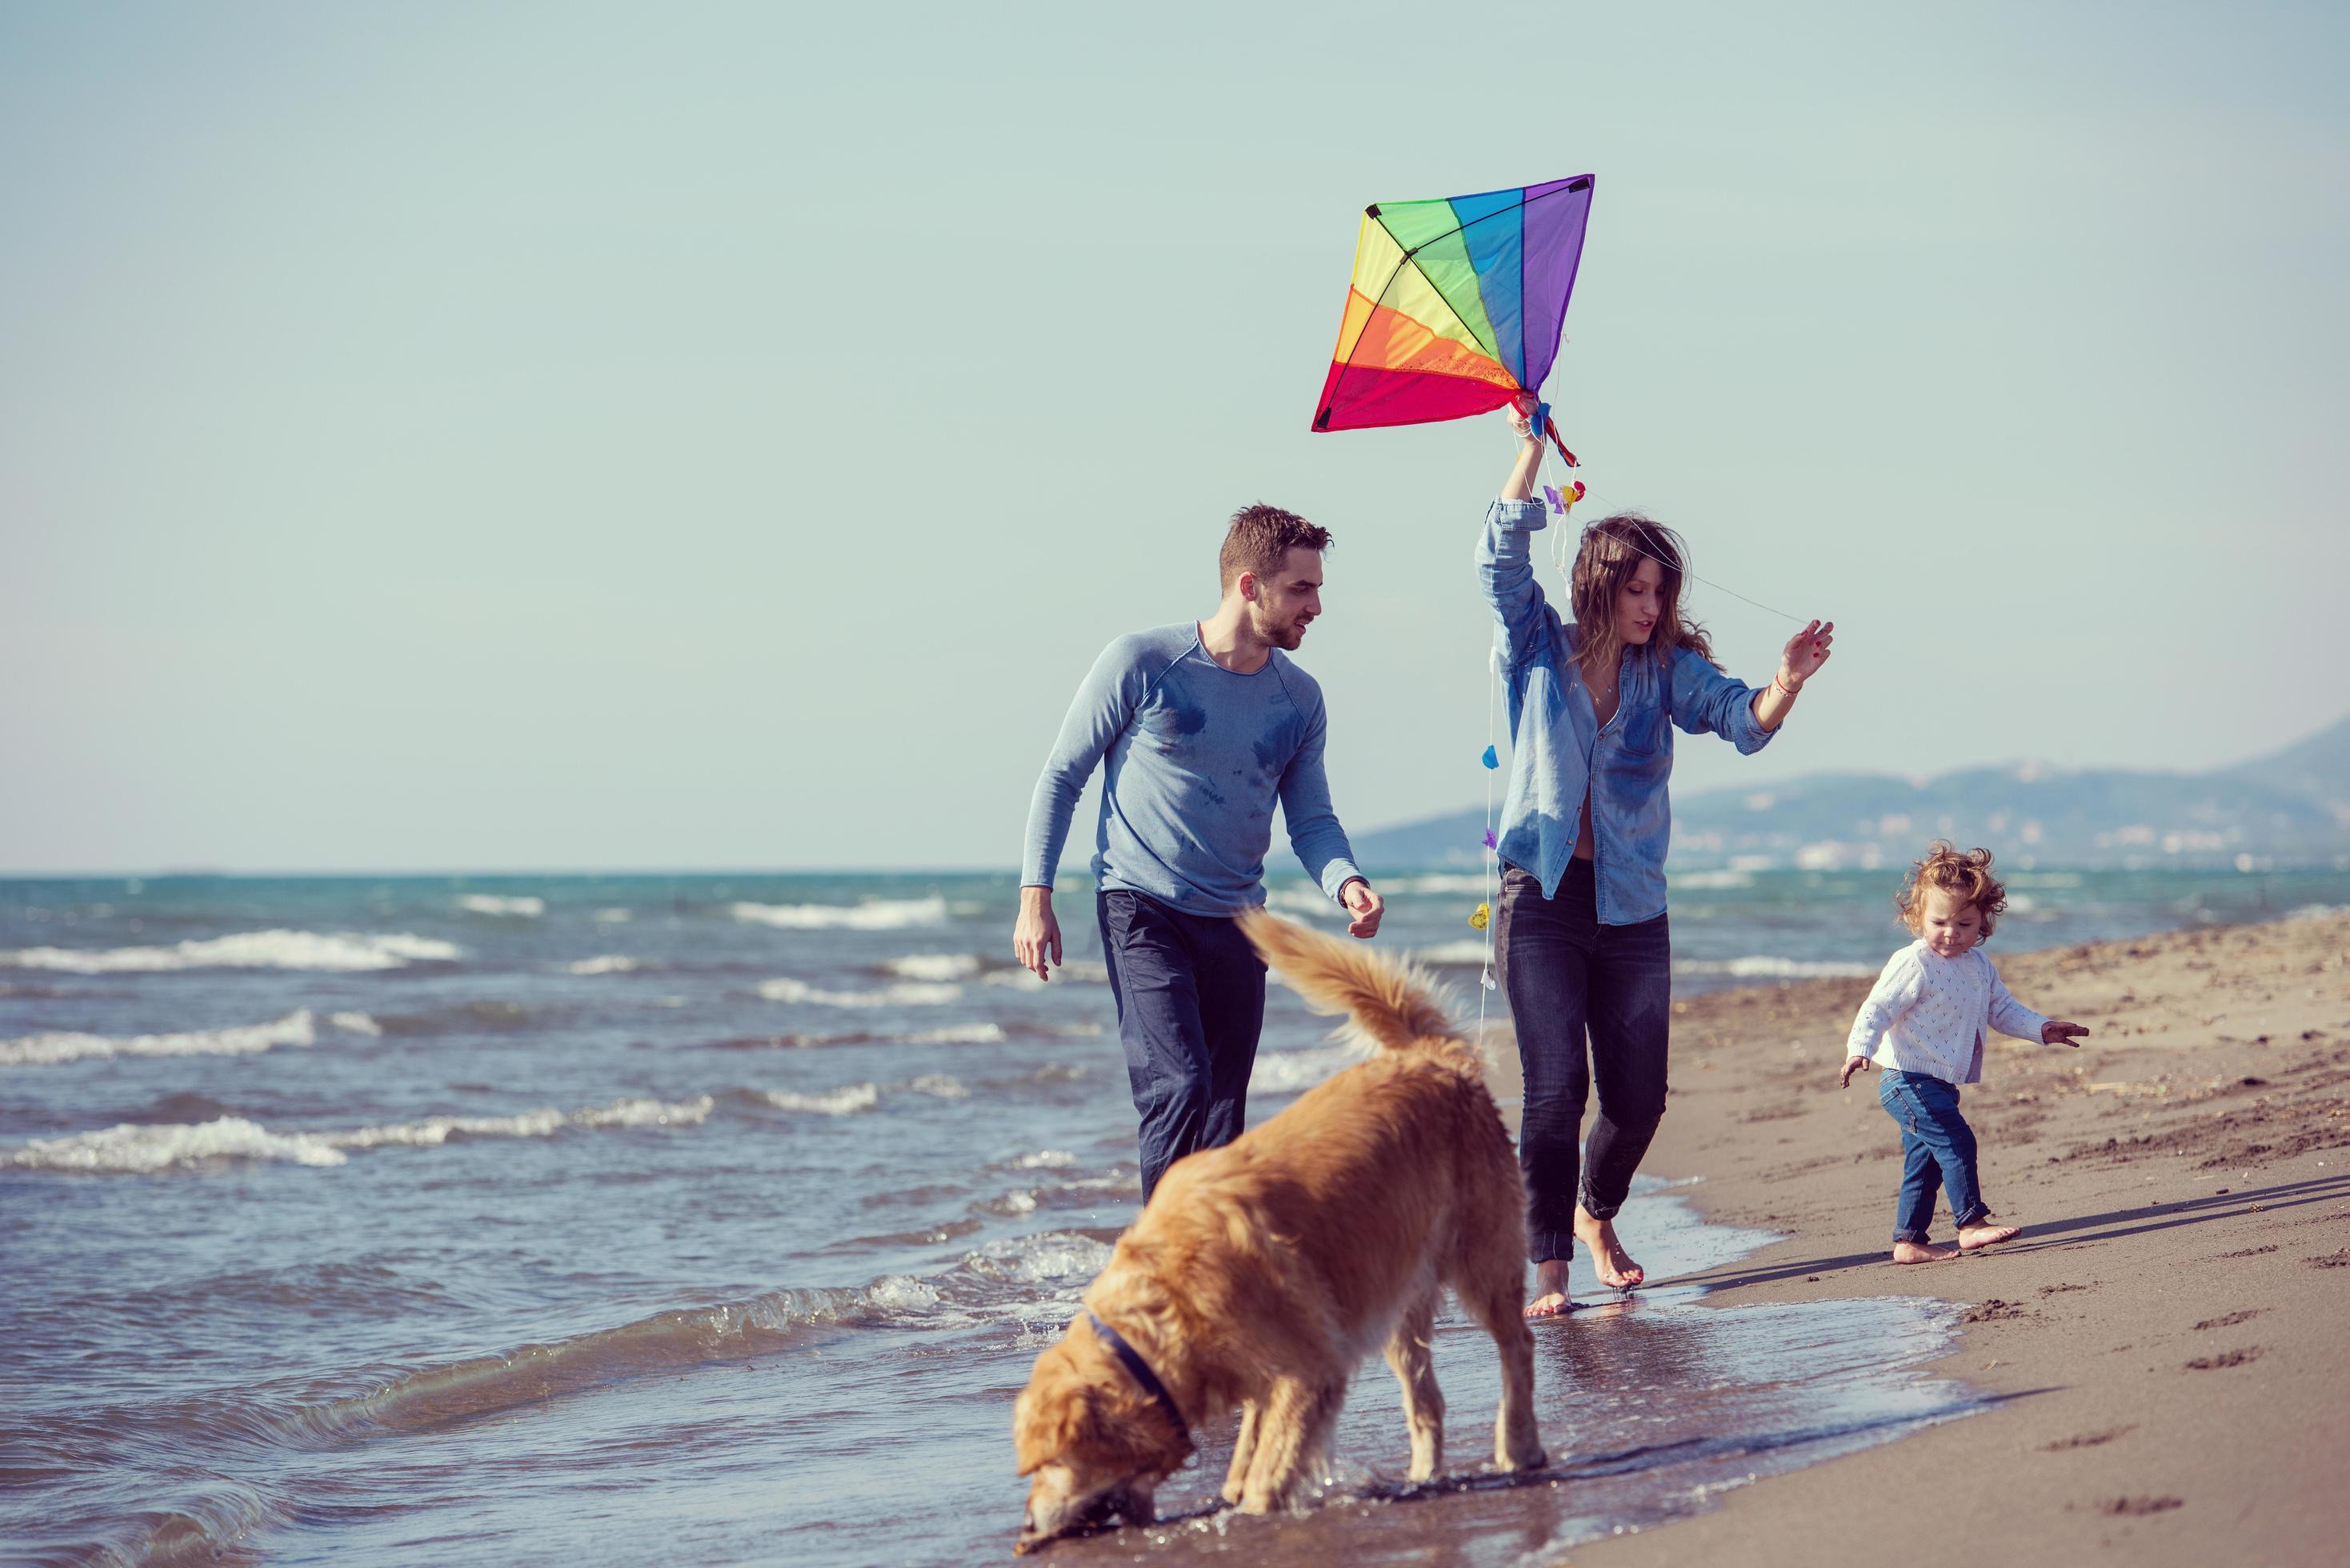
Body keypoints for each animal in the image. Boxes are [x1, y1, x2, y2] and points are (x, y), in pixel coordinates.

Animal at [1010, 902, 1541, 1551]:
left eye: (1046, 1466)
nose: (1026, 1527)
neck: (1167, 1302)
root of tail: (1435, 1059)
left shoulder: (1306, 1369)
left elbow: (1268, 1469)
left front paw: (1252, 1515)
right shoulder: (1272, 1365)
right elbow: (1252, 1446)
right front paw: (1237, 1489)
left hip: (1480, 1256)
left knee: (1517, 1345)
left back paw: (1519, 1447)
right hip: (1390, 1289)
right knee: (1426, 1398)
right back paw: (1423, 1476)